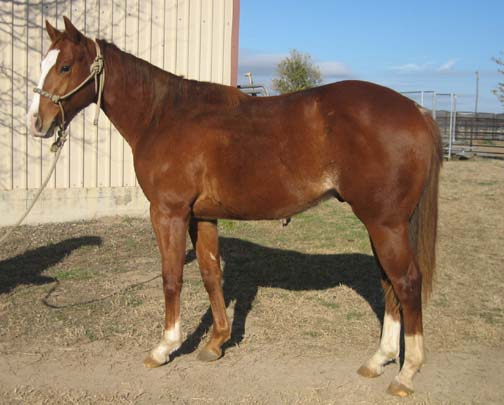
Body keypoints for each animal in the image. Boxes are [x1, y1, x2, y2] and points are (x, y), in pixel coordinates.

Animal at [27, 18, 440, 394]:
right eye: (43, 63)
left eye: (65, 67)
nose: (36, 122)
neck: (165, 116)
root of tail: (416, 110)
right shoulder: (203, 216)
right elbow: (211, 275)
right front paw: (216, 342)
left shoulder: (169, 212)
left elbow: (171, 277)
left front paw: (164, 348)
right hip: (381, 224)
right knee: (388, 283)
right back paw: (379, 359)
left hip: (384, 224)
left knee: (406, 282)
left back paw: (406, 373)